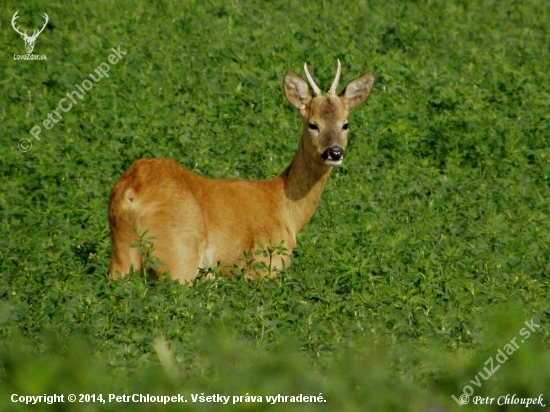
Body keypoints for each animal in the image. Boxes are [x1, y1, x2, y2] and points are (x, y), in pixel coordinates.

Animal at [109, 59, 376, 282]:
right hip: (179, 253)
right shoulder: (264, 263)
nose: (335, 152)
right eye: (313, 124)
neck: (286, 209)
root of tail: (132, 191)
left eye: (345, 124)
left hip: (122, 254)